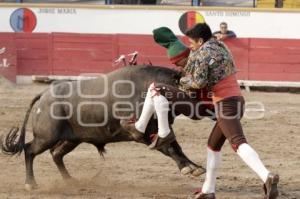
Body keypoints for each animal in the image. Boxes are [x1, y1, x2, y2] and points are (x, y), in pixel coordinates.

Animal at [0, 65, 206, 190]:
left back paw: (70, 181)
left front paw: (195, 167)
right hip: (46, 137)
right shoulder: (141, 133)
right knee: (30, 150)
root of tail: (44, 94)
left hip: (72, 139)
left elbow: (175, 146)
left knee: (56, 154)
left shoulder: (158, 130)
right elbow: (169, 147)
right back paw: (30, 184)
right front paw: (187, 168)